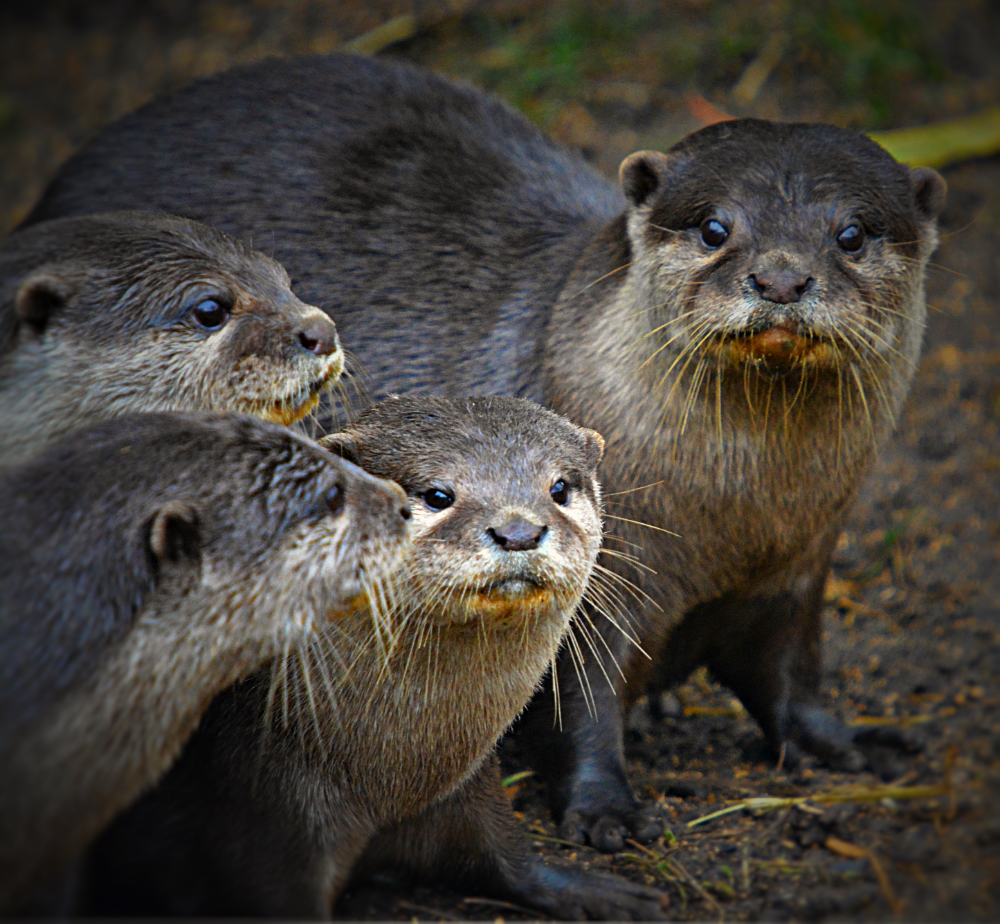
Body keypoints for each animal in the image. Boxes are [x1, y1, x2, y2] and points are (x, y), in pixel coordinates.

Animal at [74, 396, 667, 920]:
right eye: (437, 494)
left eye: (560, 488)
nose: (518, 530)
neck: (383, 782)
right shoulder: (257, 815)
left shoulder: (465, 791)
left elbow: (507, 855)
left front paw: (591, 890)